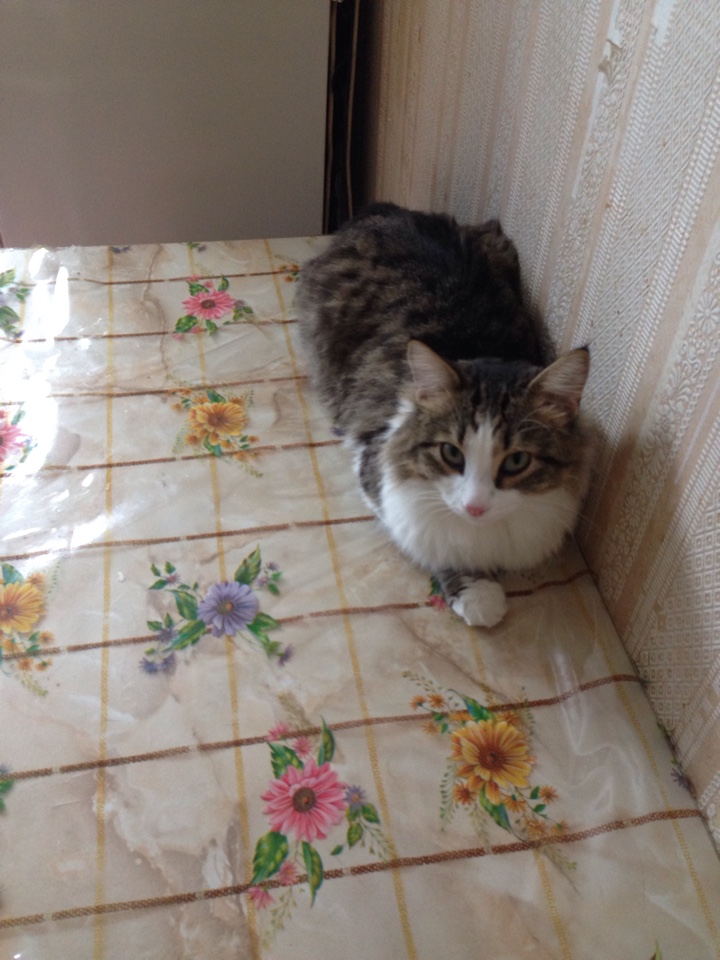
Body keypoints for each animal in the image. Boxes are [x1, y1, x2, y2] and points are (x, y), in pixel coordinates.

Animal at [296, 202, 594, 627]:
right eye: (451, 453)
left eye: (517, 461)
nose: (475, 507)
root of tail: (390, 210)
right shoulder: (379, 466)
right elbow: (439, 542)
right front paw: (480, 595)